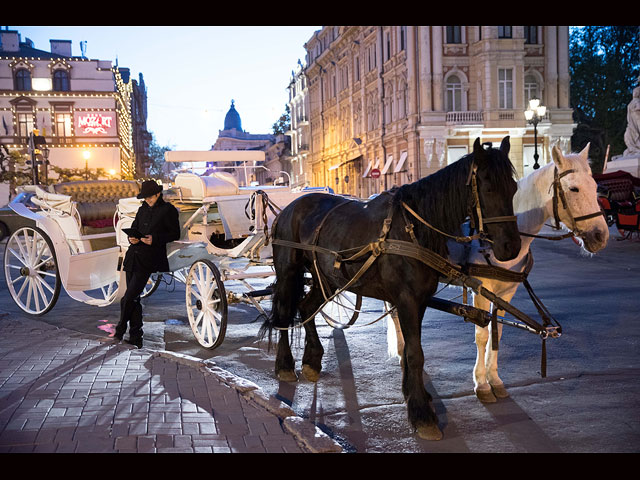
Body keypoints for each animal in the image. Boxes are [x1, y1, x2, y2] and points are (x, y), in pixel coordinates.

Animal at [260, 137, 520, 440]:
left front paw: (413, 395)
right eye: (488, 188)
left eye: (513, 188)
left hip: (326, 279)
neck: (413, 229)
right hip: (289, 272)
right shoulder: (407, 299)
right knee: (283, 313)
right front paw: (422, 414)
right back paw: (285, 366)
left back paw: (312, 361)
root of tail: (291, 207)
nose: (511, 247)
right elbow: (415, 354)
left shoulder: (419, 300)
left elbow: (410, 350)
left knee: (305, 307)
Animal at [384, 144, 608, 404]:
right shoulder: (482, 291)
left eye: (595, 186)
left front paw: (495, 379)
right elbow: (482, 335)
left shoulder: (506, 292)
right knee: (394, 312)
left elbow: (496, 333)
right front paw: (481, 383)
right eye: (574, 188)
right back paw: (402, 350)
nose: (601, 236)